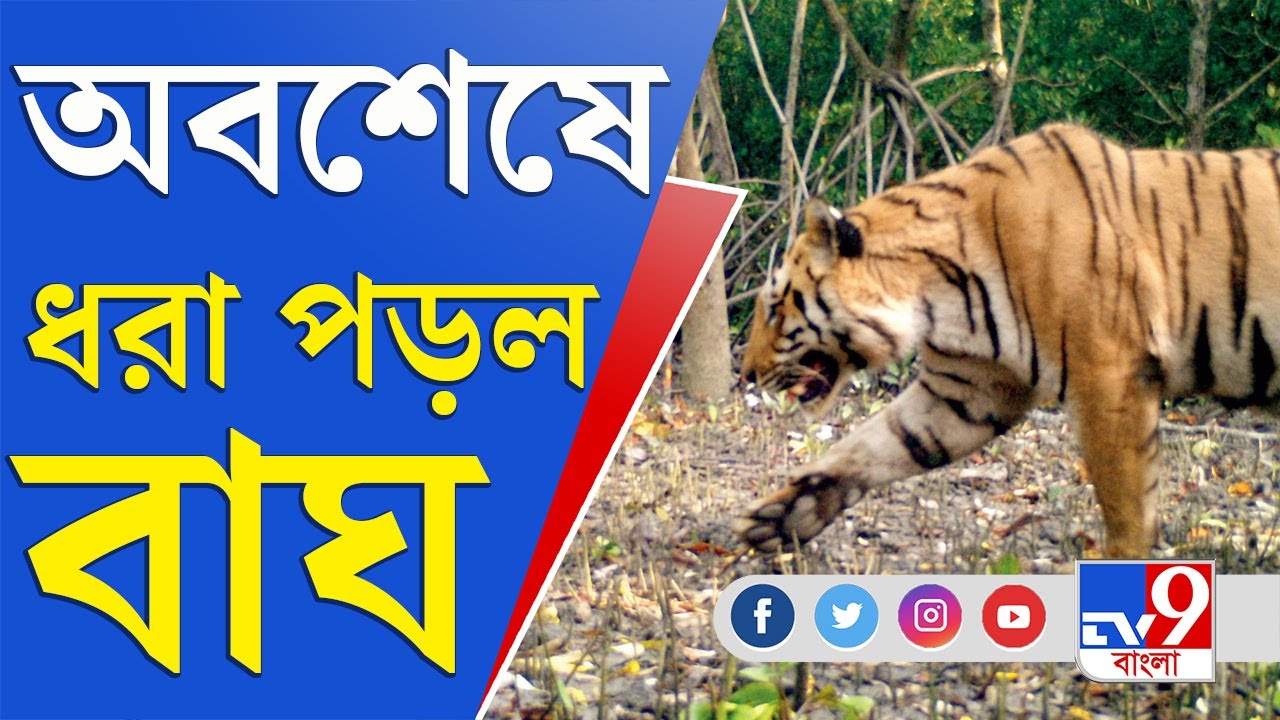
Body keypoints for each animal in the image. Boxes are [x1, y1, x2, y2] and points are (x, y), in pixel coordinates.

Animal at [737, 122, 1280, 559]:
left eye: (774, 307)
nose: (745, 374)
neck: (937, 295)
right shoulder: (966, 391)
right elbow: (876, 444)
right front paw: (781, 516)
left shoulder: (1110, 376)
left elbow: (1126, 501)